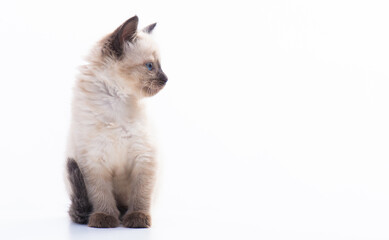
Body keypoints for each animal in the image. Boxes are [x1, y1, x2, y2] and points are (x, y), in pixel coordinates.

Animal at [64, 15, 167, 228]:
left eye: (159, 65)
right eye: (150, 66)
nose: (166, 79)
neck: (117, 100)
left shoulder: (144, 157)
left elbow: (141, 194)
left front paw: (137, 218)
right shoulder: (94, 160)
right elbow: (101, 194)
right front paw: (105, 218)